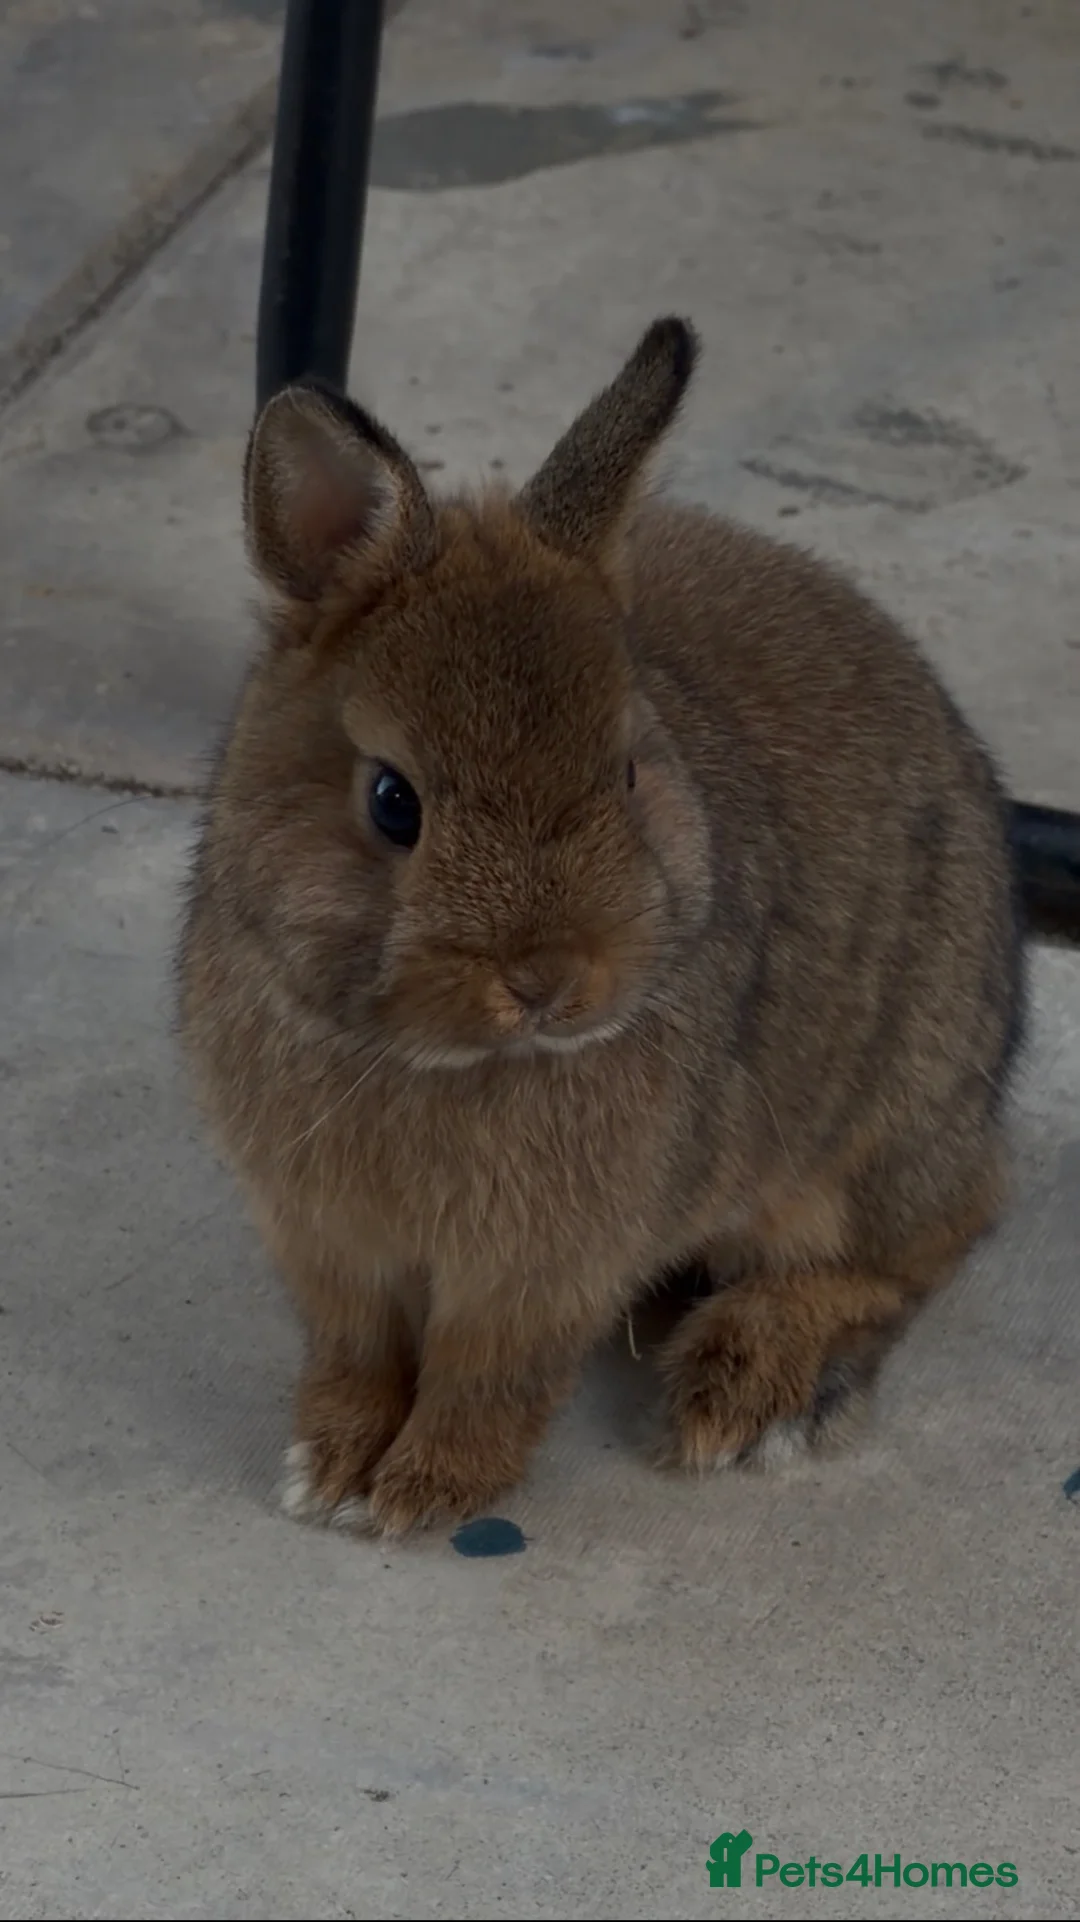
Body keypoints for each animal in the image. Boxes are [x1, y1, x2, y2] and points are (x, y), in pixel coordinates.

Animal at [177, 317, 1024, 1538]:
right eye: (393, 801)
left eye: (627, 770)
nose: (550, 980)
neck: (441, 1062)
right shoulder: (329, 1248)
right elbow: (357, 1356)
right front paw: (331, 1469)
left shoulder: (542, 1272)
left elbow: (490, 1373)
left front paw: (422, 1492)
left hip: (876, 1126)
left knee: (921, 1246)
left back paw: (747, 1393)